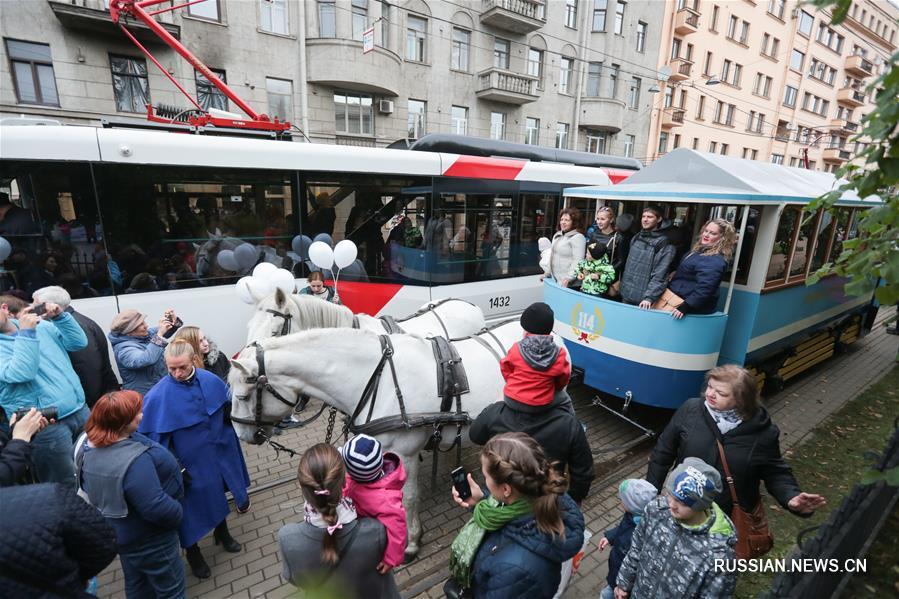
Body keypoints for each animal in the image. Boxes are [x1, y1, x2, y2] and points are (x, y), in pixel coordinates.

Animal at [227, 324, 564, 556]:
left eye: (242, 396)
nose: (242, 435)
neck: (378, 379)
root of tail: (553, 337)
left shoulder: (407, 452)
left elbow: (409, 497)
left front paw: (412, 543)